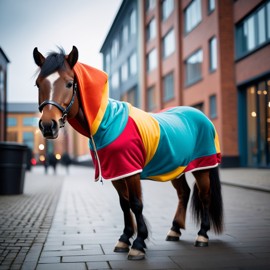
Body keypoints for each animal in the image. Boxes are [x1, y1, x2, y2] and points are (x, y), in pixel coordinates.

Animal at [33, 46, 224, 260]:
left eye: (68, 83)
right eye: (38, 84)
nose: (48, 126)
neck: (107, 122)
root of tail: (201, 116)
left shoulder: (131, 171)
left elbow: (136, 203)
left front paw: (139, 243)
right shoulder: (117, 172)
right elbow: (124, 204)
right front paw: (125, 239)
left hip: (202, 167)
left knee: (204, 196)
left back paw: (202, 235)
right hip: (176, 168)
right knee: (184, 192)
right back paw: (175, 230)